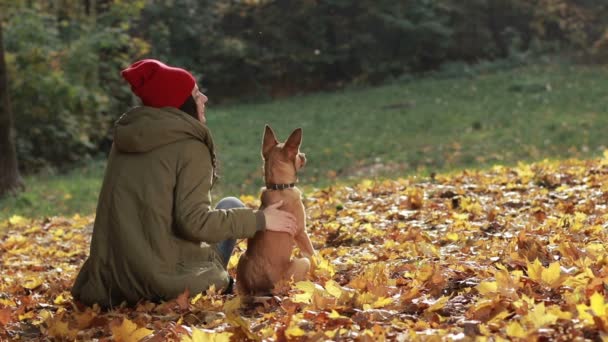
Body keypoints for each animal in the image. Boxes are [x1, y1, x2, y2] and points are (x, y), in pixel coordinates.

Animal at [236, 124, 316, 296]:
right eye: (298, 153)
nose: (304, 155)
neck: (279, 187)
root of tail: (261, 288)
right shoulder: (301, 232)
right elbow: (314, 255)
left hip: (242, 258)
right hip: (301, 263)